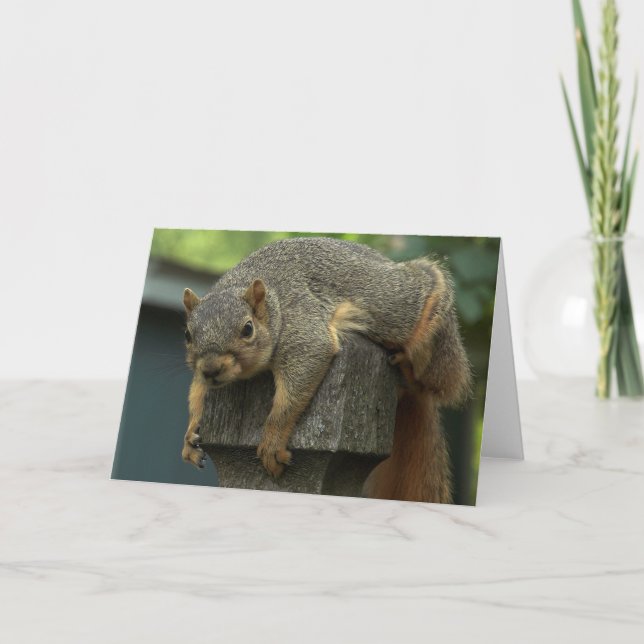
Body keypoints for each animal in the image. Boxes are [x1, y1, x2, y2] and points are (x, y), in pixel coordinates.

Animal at [181, 237, 471, 504]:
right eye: (187, 334)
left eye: (247, 329)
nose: (211, 369)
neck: (273, 307)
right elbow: (197, 393)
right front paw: (190, 435)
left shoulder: (302, 328)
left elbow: (296, 387)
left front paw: (272, 440)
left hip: (427, 326)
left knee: (434, 383)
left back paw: (409, 369)